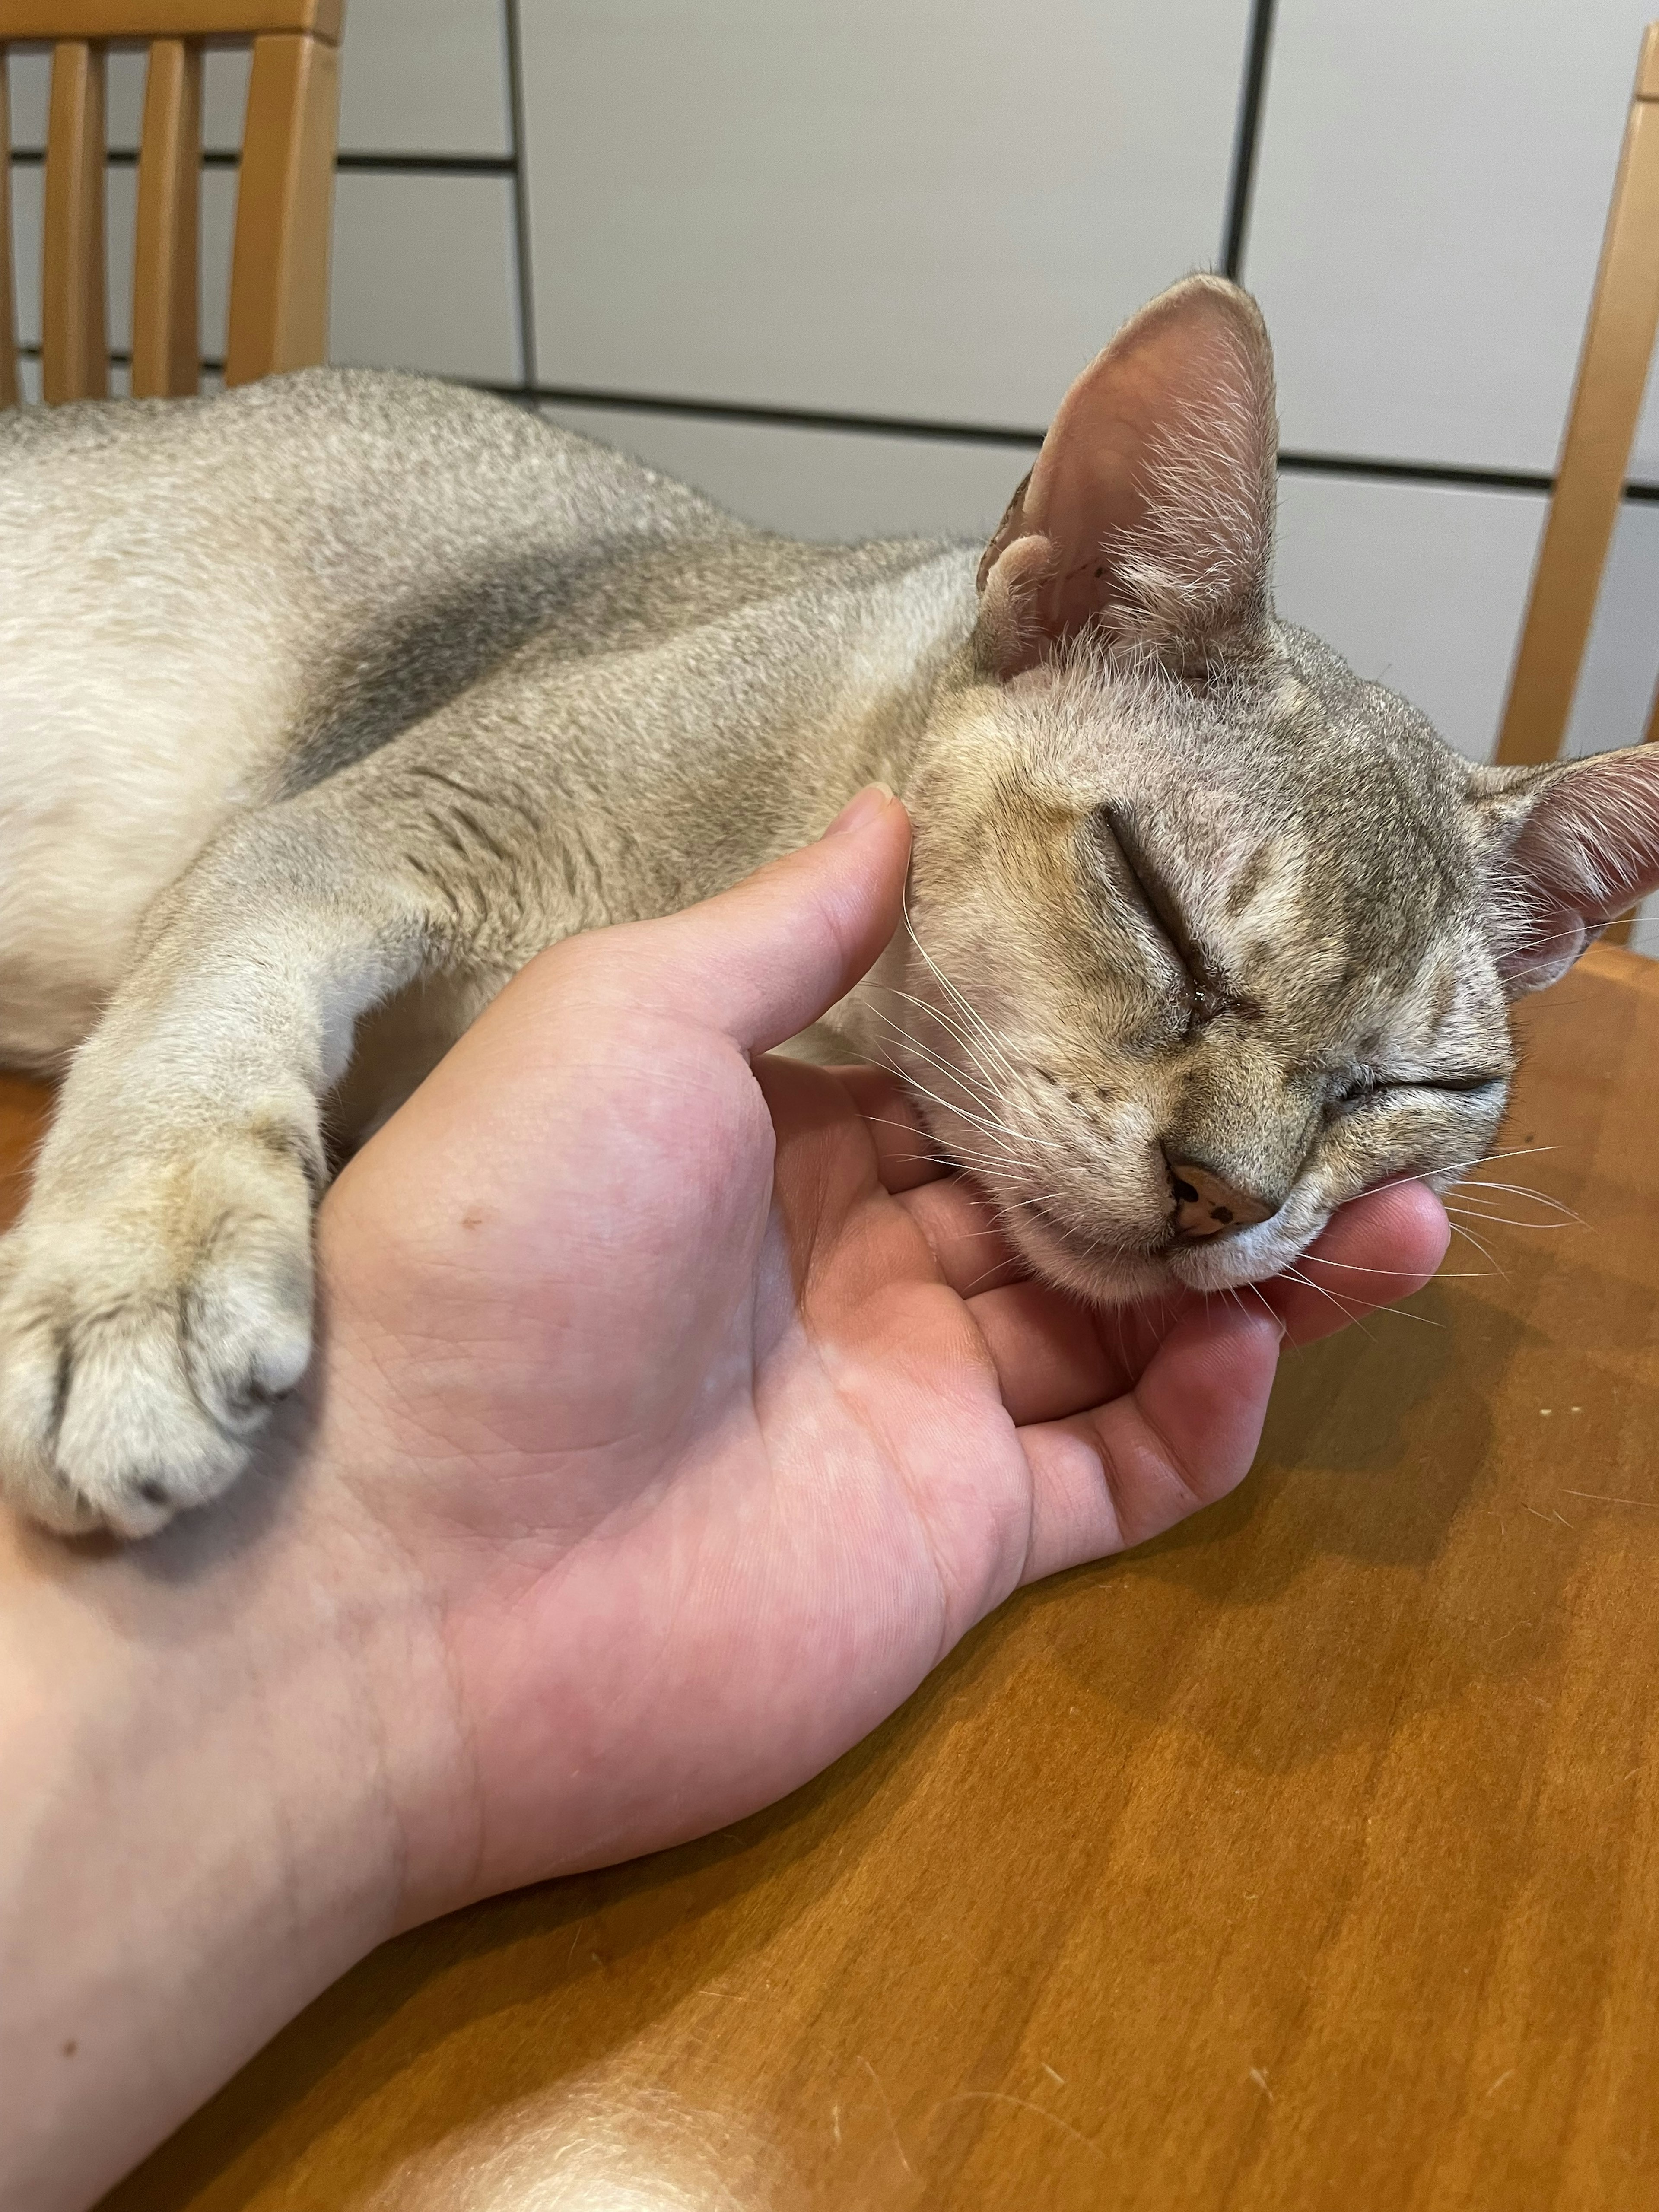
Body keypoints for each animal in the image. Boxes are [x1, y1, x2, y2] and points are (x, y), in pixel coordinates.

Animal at [3, 267, 1659, 1531]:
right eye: (1152, 896)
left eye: (1414, 1087)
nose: (1224, 1198)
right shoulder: (363, 827)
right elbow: (199, 1020)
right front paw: (130, 1290)